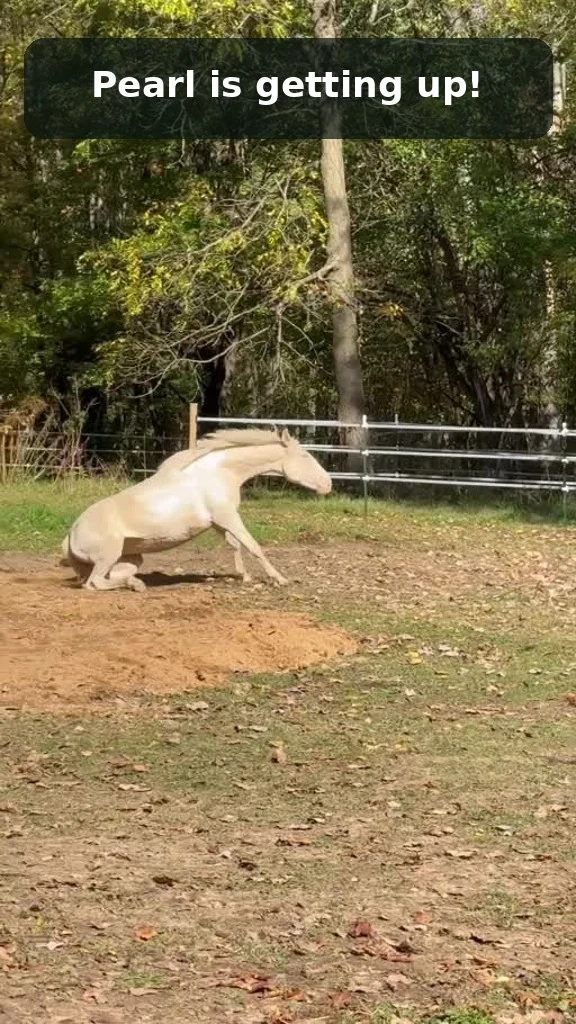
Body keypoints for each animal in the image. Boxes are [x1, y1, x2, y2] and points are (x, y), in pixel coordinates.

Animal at [60, 427, 332, 592]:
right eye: (306, 457)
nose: (328, 484)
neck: (220, 472)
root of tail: (71, 535)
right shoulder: (227, 517)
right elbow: (253, 545)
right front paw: (280, 578)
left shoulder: (218, 522)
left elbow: (235, 545)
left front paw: (244, 577)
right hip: (108, 555)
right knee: (94, 583)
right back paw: (136, 586)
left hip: (132, 558)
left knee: (109, 577)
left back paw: (135, 582)